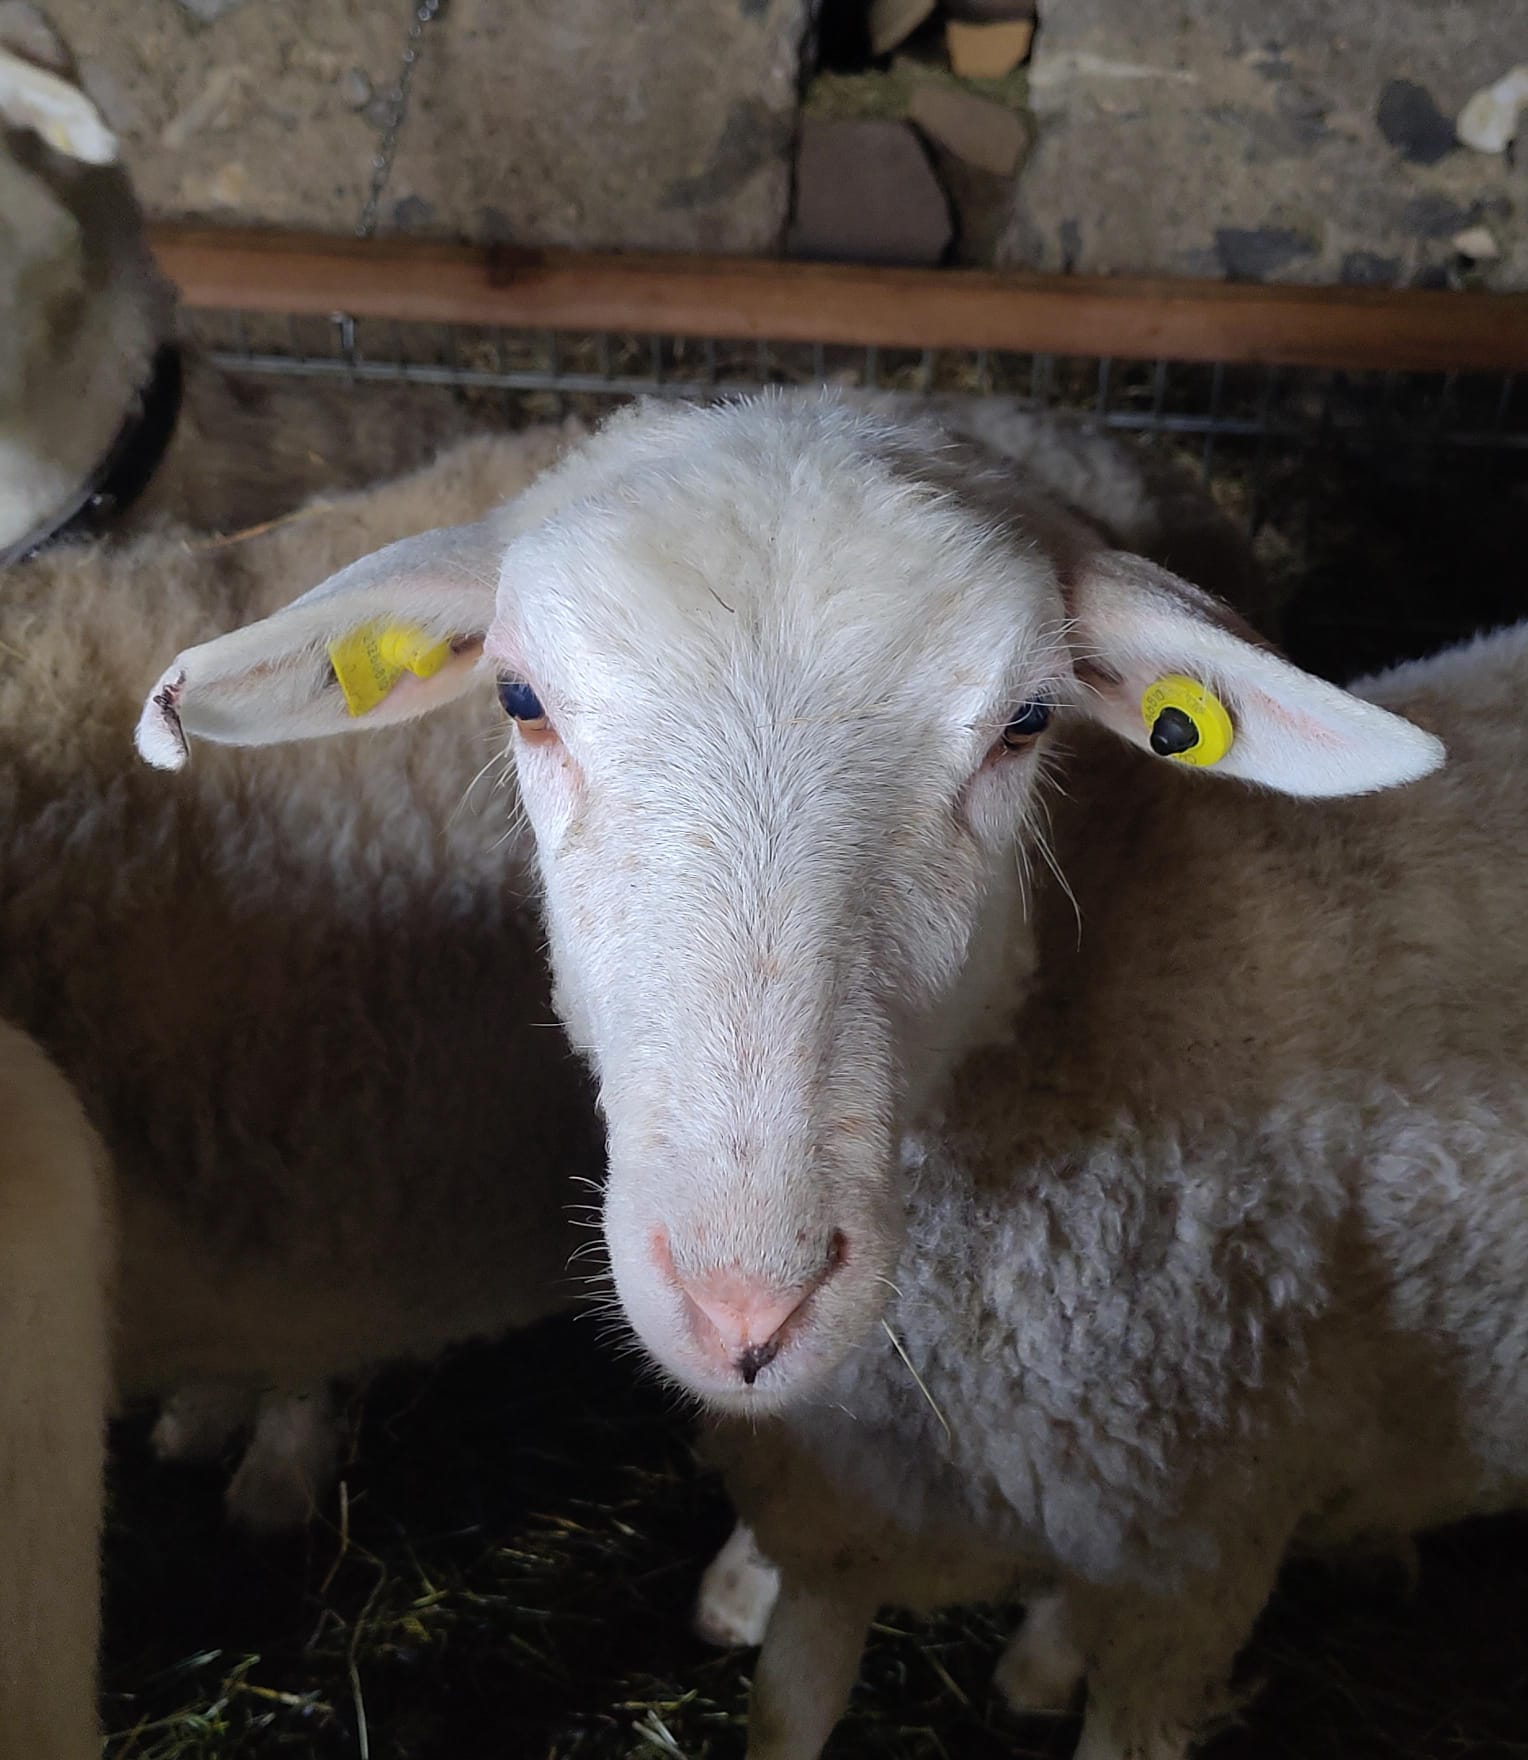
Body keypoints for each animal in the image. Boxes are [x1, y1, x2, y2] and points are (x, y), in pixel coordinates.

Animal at [139, 389, 1528, 1760]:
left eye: (1027, 721)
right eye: (521, 698)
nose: (746, 1303)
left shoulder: (1190, 1565)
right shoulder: (850, 1521)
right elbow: (790, 1702)